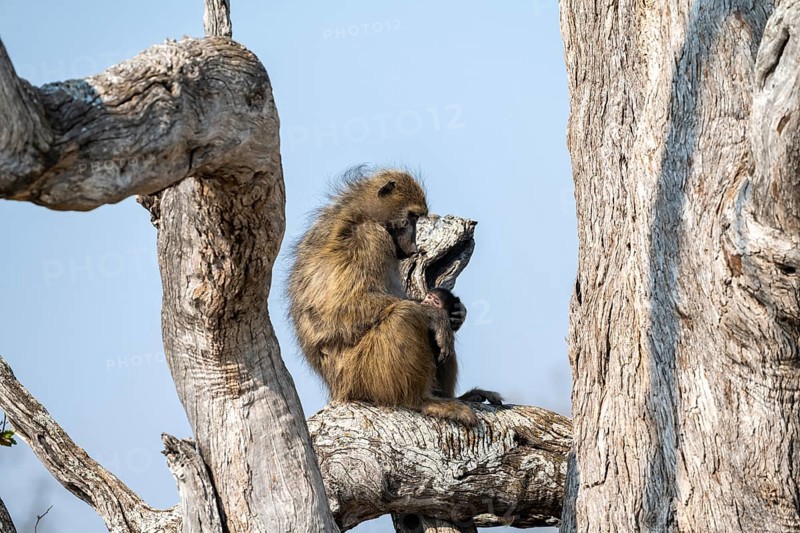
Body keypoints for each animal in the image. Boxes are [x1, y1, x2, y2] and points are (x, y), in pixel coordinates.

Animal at [288, 168, 480, 425]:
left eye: (418, 219)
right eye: (412, 217)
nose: (415, 247)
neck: (362, 215)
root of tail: (336, 389)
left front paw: (457, 313)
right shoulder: (371, 239)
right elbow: (343, 306)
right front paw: (434, 313)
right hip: (361, 377)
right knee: (405, 316)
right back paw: (421, 401)